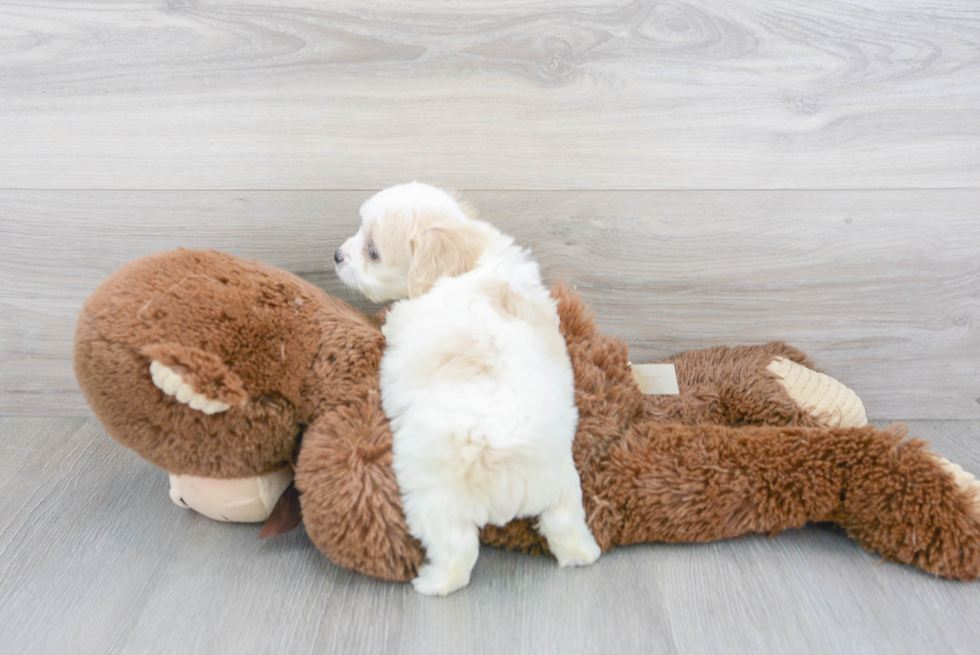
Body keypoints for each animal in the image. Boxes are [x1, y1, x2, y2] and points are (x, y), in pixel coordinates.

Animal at [334, 182, 596, 596]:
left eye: (372, 251)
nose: (337, 255)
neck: (465, 257)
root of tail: (513, 479)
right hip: (564, 488)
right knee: (565, 524)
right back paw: (583, 554)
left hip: (434, 502)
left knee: (457, 553)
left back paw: (431, 582)